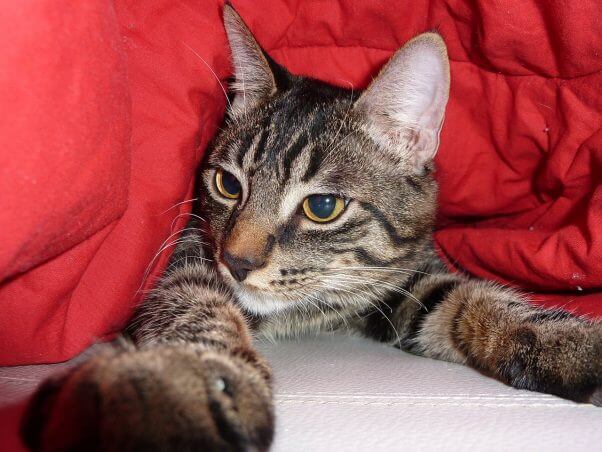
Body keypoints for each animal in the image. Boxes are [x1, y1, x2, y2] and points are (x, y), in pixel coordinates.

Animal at [21, 4, 596, 452]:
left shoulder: (406, 281)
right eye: (227, 184)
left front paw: (575, 344)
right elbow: (197, 308)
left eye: (322, 206)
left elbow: (478, 299)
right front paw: (189, 394)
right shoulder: (187, 262)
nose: (236, 261)